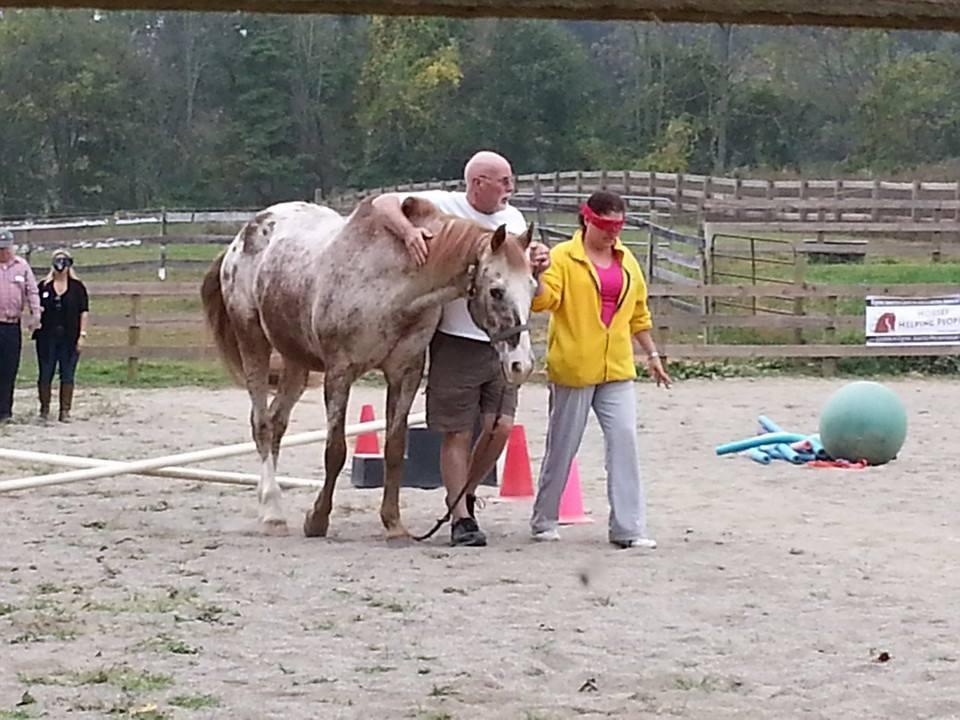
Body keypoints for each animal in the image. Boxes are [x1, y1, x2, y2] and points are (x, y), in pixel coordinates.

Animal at [200, 196, 538, 540]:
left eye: (533, 286)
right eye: (496, 290)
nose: (521, 365)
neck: (391, 286)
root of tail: (241, 238)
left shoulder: (405, 373)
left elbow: (395, 448)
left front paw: (393, 523)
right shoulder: (339, 373)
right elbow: (335, 451)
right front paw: (317, 519)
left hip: (296, 361)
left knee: (277, 423)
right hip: (252, 341)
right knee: (262, 425)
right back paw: (271, 513)